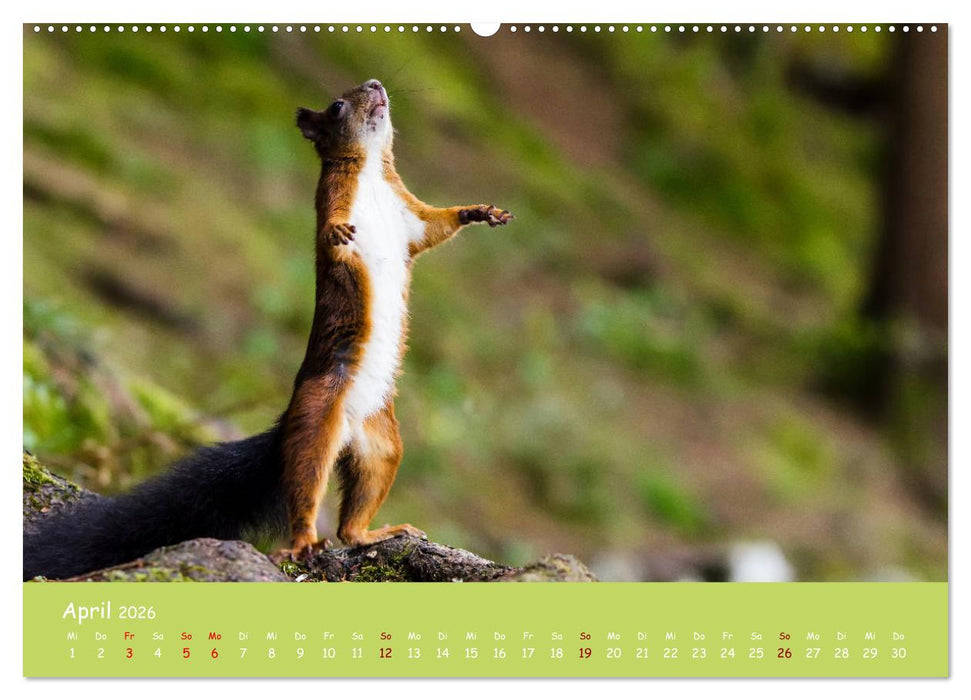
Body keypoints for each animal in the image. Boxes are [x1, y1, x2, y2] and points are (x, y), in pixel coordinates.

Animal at [22, 79, 513, 580]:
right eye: (337, 105)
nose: (376, 85)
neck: (373, 172)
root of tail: (339, 426)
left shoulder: (408, 215)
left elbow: (436, 227)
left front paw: (480, 212)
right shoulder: (332, 199)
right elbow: (332, 236)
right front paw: (338, 235)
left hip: (383, 445)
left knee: (353, 521)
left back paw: (377, 532)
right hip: (317, 422)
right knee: (306, 485)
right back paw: (302, 541)